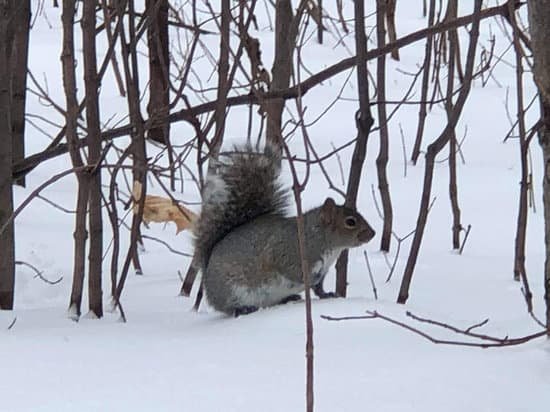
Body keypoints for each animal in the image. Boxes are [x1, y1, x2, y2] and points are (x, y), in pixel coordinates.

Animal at [193, 144, 376, 316]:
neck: (318, 236)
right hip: (231, 290)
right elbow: (293, 272)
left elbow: (319, 289)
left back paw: (289, 298)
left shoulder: (323, 270)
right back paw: (243, 309)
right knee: (228, 308)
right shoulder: (288, 252)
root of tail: (207, 275)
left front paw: (327, 295)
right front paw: (310, 279)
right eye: (350, 222)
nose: (373, 234)